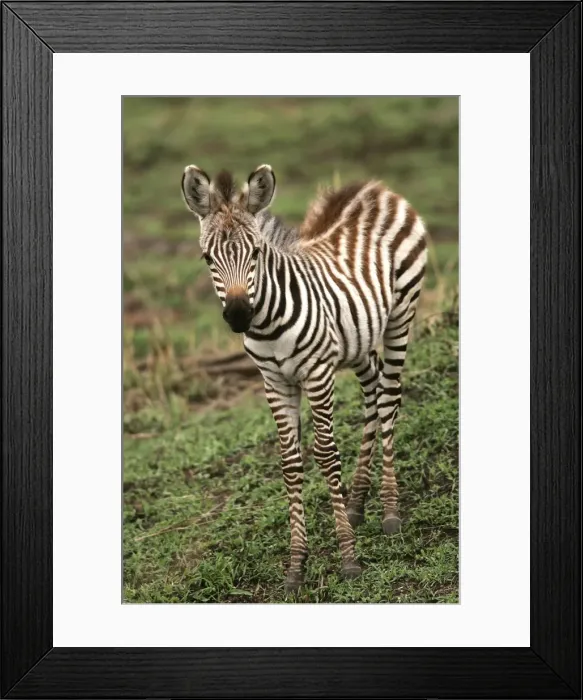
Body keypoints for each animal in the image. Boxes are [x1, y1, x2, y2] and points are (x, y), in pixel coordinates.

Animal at [181, 164, 427, 593]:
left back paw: (389, 511)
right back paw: (357, 502)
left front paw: (348, 557)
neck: (267, 323)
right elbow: (290, 462)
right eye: (207, 257)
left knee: (389, 398)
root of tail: (373, 189)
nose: (239, 315)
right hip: (358, 338)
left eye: (256, 252)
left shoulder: (316, 373)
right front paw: (296, 565)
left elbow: (326, 455)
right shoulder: (274, 382)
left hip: (402, 313)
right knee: (372, 394)